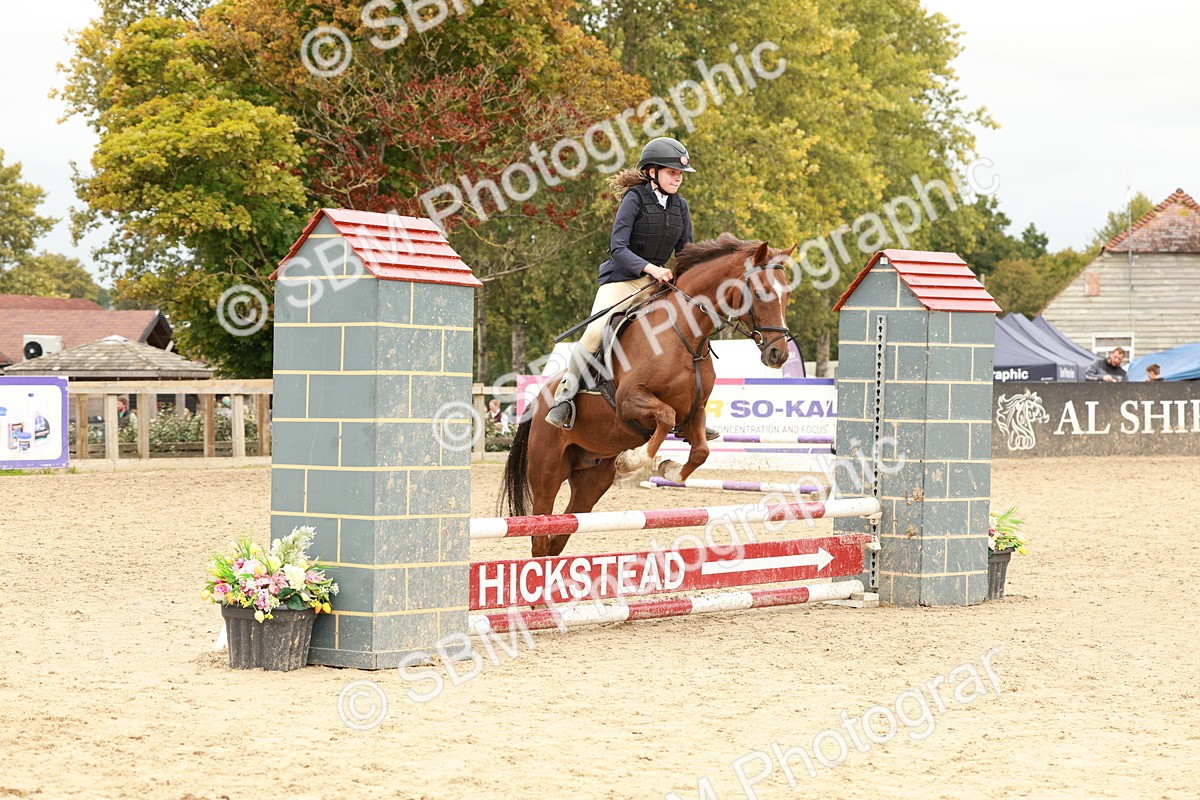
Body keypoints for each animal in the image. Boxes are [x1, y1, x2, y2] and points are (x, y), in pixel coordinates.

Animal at [500, 233, 797, 559]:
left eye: (786, 295)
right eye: (759, 292)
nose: (779, 354)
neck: (686, 334)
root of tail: (537, 404)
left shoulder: (695, 410)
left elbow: (701, 450)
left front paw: (669, 469)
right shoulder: (629, 399)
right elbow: (664, 417)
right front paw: (633, 460)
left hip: (591, 479)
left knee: (560, 534)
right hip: (547, 472)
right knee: (541, 534)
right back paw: (561, 412)